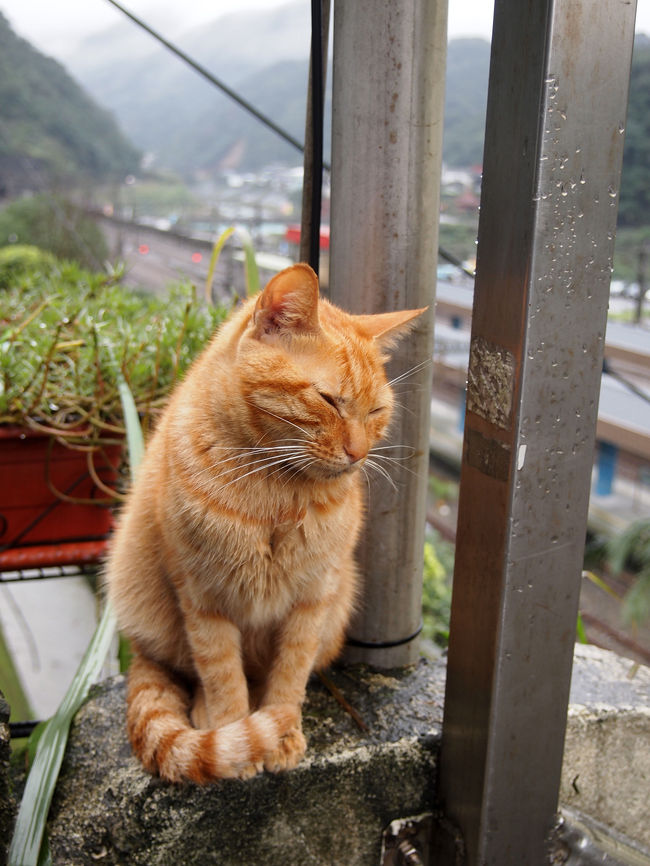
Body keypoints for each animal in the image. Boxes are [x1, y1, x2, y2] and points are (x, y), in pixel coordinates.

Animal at [104, 260, 422, 780]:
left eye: (377, 411)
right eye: (329, 400)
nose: (359, 454)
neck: (275, 492)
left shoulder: (313, 599)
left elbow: (290, 672)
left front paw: (282, 728)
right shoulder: (204, 599)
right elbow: (221, 673)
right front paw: (236, 733)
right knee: (193, 672)